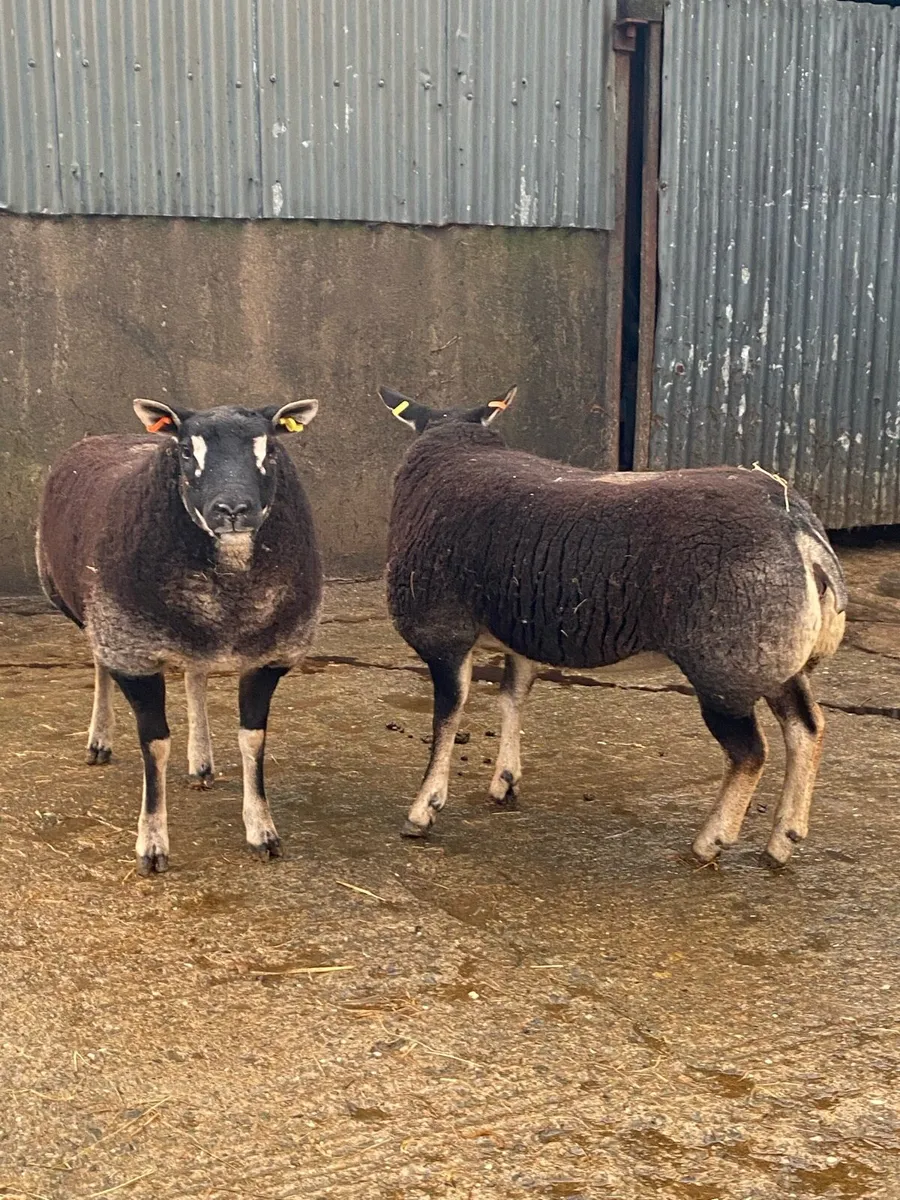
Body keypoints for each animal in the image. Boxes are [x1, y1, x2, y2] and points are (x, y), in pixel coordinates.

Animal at [36, 397, 322, 874]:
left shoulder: (271, 654)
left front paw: (262, 830)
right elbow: (154, 745)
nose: (232, 509)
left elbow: (253, 739)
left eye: (269, 449)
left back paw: (201, 762)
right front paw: (152, 844)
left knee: (195, 673)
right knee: (99, 663)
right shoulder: (131, 648)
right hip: (86, 608)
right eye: (187, 451)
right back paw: (99, 740)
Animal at [380, 385, 847, 867]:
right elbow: (511, 699)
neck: (456, 444)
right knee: (806, 729)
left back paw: (711, 840)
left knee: (750, 753)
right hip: (774, 656)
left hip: (727, 665)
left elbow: (448, 717)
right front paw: (505, 781)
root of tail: (799, 529)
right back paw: (783, 839)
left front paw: (423, 810)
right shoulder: (522, 634)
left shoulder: (443, 632)